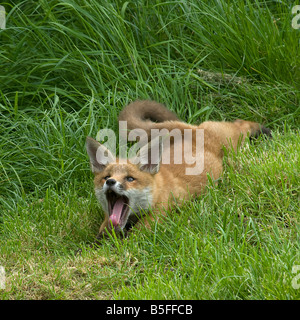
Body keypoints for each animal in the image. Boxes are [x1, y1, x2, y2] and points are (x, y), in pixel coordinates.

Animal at [85, 100, 270, 240]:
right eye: (106, 177)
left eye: (130, 179)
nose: (110, 182)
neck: (156, 191)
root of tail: (193, 131)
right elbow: (104, 228)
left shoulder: (160, 213)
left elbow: (139, 233)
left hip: (232, 141)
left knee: (241, 124)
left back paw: (261, 130)